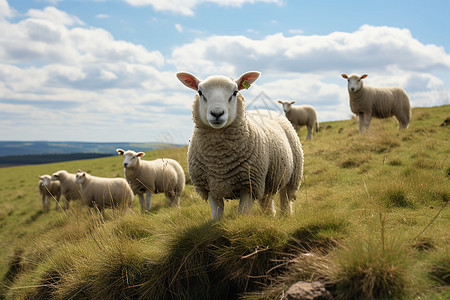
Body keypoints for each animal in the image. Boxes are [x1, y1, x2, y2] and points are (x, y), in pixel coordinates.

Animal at [176, 69, 302, 220]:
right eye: (200, 92)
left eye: (235, 92)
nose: (217, 113)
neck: (219, 161)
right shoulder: (210, 187)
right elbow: (217, 217)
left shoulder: (249, 185)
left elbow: (242, 213)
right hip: (268, 180)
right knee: (267, 199)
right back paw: (269, 216)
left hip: (293, 175)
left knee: (286, 197)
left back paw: (286, 215)